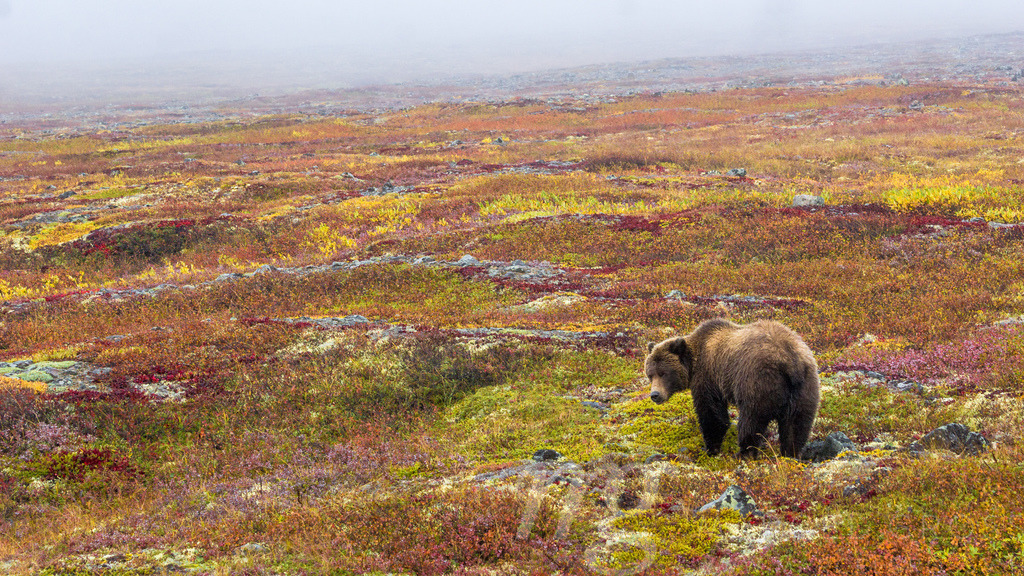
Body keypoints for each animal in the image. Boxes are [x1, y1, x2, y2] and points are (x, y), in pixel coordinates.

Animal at [644, 318, 819, 459]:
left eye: (663, 373)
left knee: (751, 420)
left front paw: (710, 448)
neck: (694, 362)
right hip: (805, 388)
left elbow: (712, 414)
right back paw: (790, 454)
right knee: (795, 425)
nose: (655, 394)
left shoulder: (709, 377)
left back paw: (744, 453)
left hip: (757, 382)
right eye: (650, 374)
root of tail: (790, 361)